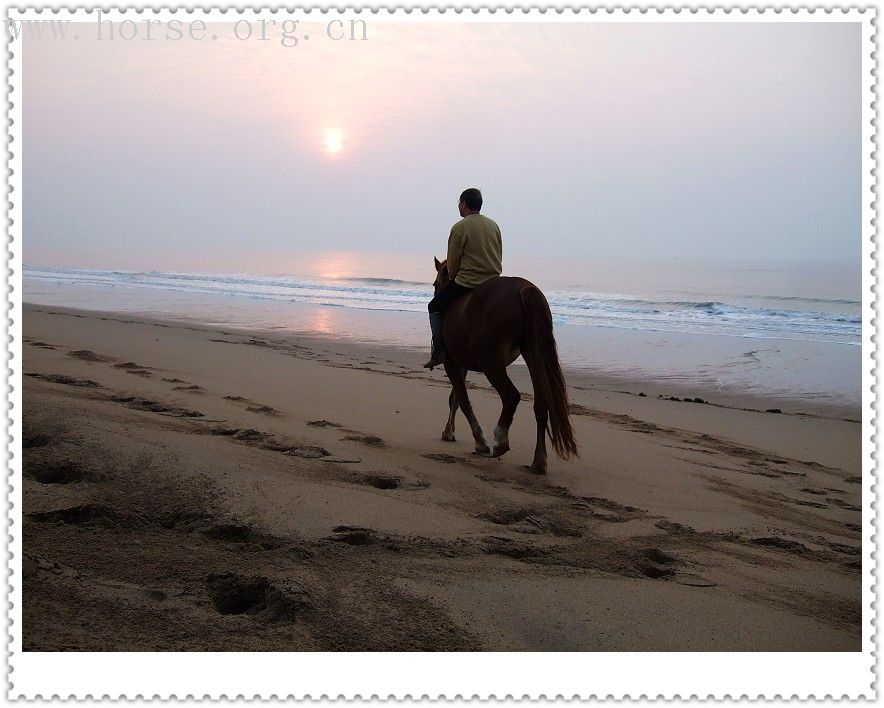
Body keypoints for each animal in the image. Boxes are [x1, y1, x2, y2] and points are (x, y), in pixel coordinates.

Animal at [430, 256, 580, 476]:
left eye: (435, 284)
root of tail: (524, 288)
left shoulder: (451, 362)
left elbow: (463, 400)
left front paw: (479, 441)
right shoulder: (460, 364)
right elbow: (455, 398)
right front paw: (449, 431)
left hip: (491, 362)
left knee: (511, 396)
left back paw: (499, 441)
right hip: (533, 357)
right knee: (540, 405)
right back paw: (538, 461)